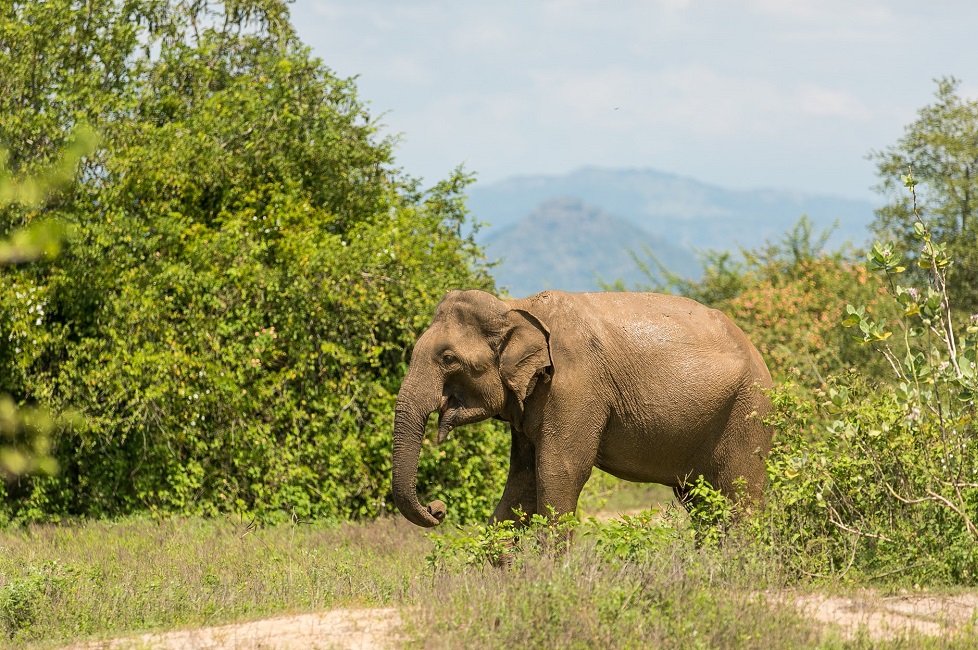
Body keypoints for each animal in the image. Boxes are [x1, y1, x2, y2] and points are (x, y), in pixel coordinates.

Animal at [388, 288, 772, 528]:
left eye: (448, 359)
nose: (437, 508)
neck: (515, 307)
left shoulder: (574, 386)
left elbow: (559, 471)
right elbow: (521, 479)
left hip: (749, 411)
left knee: (740, 493)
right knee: (700, 499)